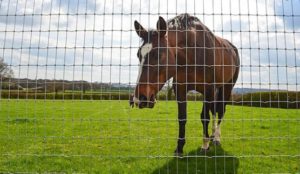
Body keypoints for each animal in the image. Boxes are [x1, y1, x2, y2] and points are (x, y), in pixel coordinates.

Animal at [130, 12, 240, 156]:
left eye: (158, 54)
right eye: (138, 55)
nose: (139, 98)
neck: (192, 52)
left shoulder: (208, 89)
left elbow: (205, 117)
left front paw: (205, 145)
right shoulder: (181, 89)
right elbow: (182, 118)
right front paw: (179, 148)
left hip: (226, 87)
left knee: (220, 110)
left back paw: (216, 138)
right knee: (214, 111)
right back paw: (212, 135)